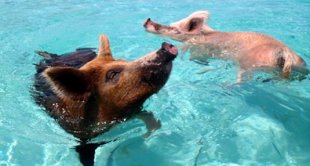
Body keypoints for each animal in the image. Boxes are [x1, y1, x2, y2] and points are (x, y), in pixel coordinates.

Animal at [144, 10, 308, 81]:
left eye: (173, 28)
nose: (147, 20)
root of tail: (285, 53)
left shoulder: (199, 49)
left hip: (248, 63)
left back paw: (226, 85)